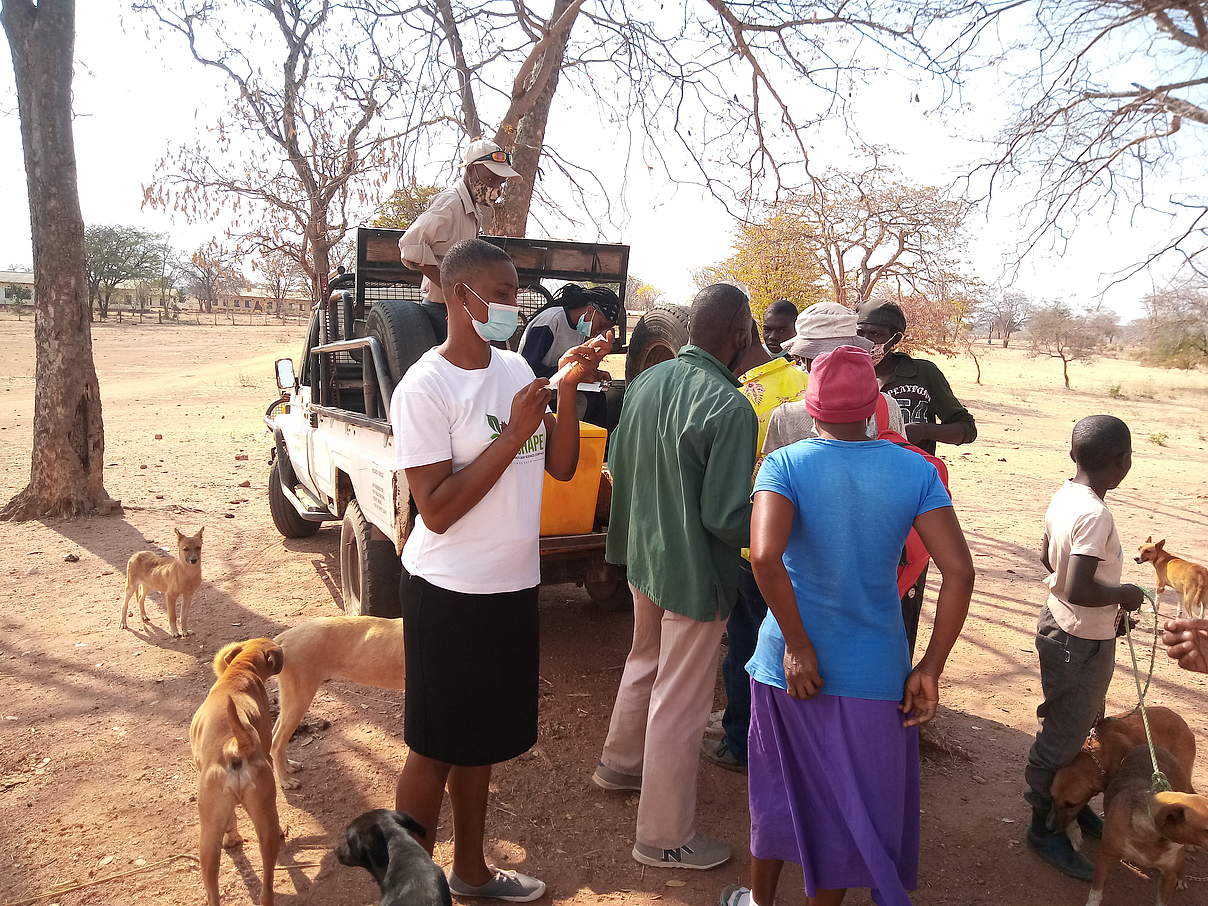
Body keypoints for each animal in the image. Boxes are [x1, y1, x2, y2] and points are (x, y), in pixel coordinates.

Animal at [193, 637, 287, 906]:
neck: (240, 670)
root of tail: (234, 745)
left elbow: (231, 818)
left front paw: (231, 837)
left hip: (209, 830)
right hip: (261, 821)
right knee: (267, 881)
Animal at [268, 613, 401, 792]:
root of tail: (284, 638)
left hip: (290, 701)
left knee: (275, 736)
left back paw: (288, 766)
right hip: (299, 699)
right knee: (277, 742)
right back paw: (285, 781)